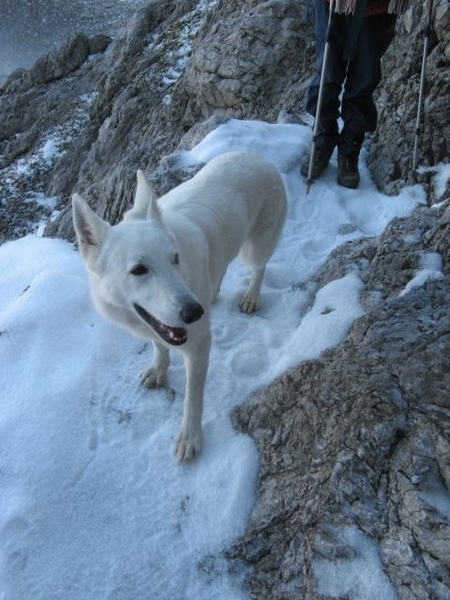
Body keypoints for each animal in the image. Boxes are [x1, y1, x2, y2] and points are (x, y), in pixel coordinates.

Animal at [72, 152, 286, 462]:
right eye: (139, 270)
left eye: (175, 259)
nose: (194, 313)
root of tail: (257, 155)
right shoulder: (159, 326)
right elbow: (159, 345)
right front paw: (158, 368)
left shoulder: (198, 347)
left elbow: (192, 398)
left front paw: (189, 436)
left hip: (256, 249)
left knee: (259, 268)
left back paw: (251, 297)